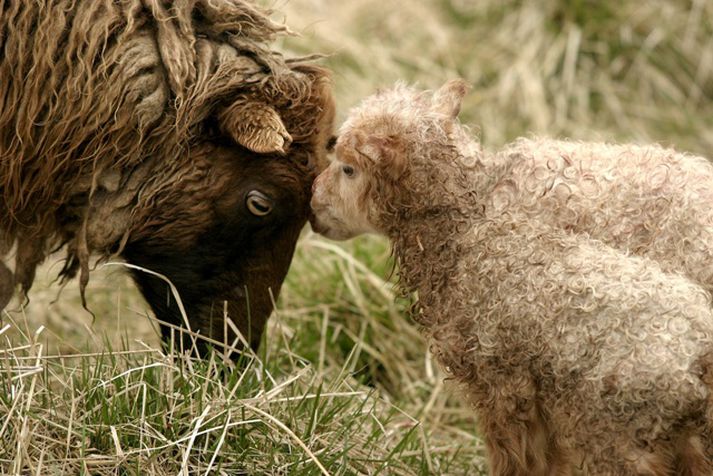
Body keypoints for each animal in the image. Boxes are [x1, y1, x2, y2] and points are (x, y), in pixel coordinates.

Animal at [310, 80, 712, 474]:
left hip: (619, 430)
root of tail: (698, 356)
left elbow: (518, 456)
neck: (471, 216)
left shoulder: (502, 380)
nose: (312, 203)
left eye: (348, 168)